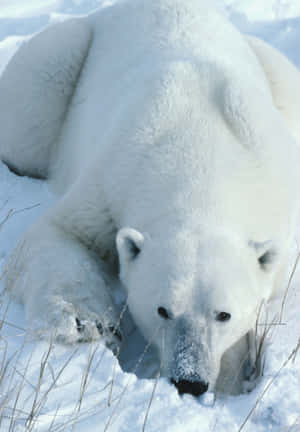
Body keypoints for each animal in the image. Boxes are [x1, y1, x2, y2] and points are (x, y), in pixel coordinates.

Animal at [0, 0, 300, 394]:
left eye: (224, 314)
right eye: (163, 310)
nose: (189, 381)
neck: (201, 157)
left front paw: (237, 374)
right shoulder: (113, 176)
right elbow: (59, 232)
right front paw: (86, 323)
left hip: (277, 71)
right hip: (63, 58)